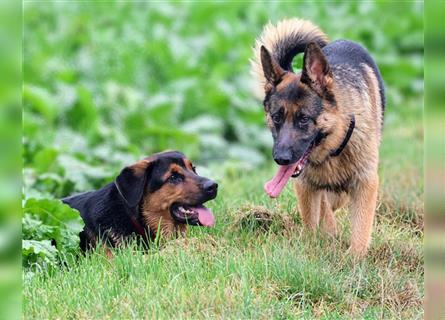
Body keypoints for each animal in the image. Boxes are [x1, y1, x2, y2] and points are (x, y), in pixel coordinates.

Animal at [251, 18, 384, 258]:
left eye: (304, 119)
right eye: (276, 118)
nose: (281, 159)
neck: (334, 149)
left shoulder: (365, 182)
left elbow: (361, 228)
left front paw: (355, 259)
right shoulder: (305, 185)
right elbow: (312, 220)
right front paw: (317, 243)